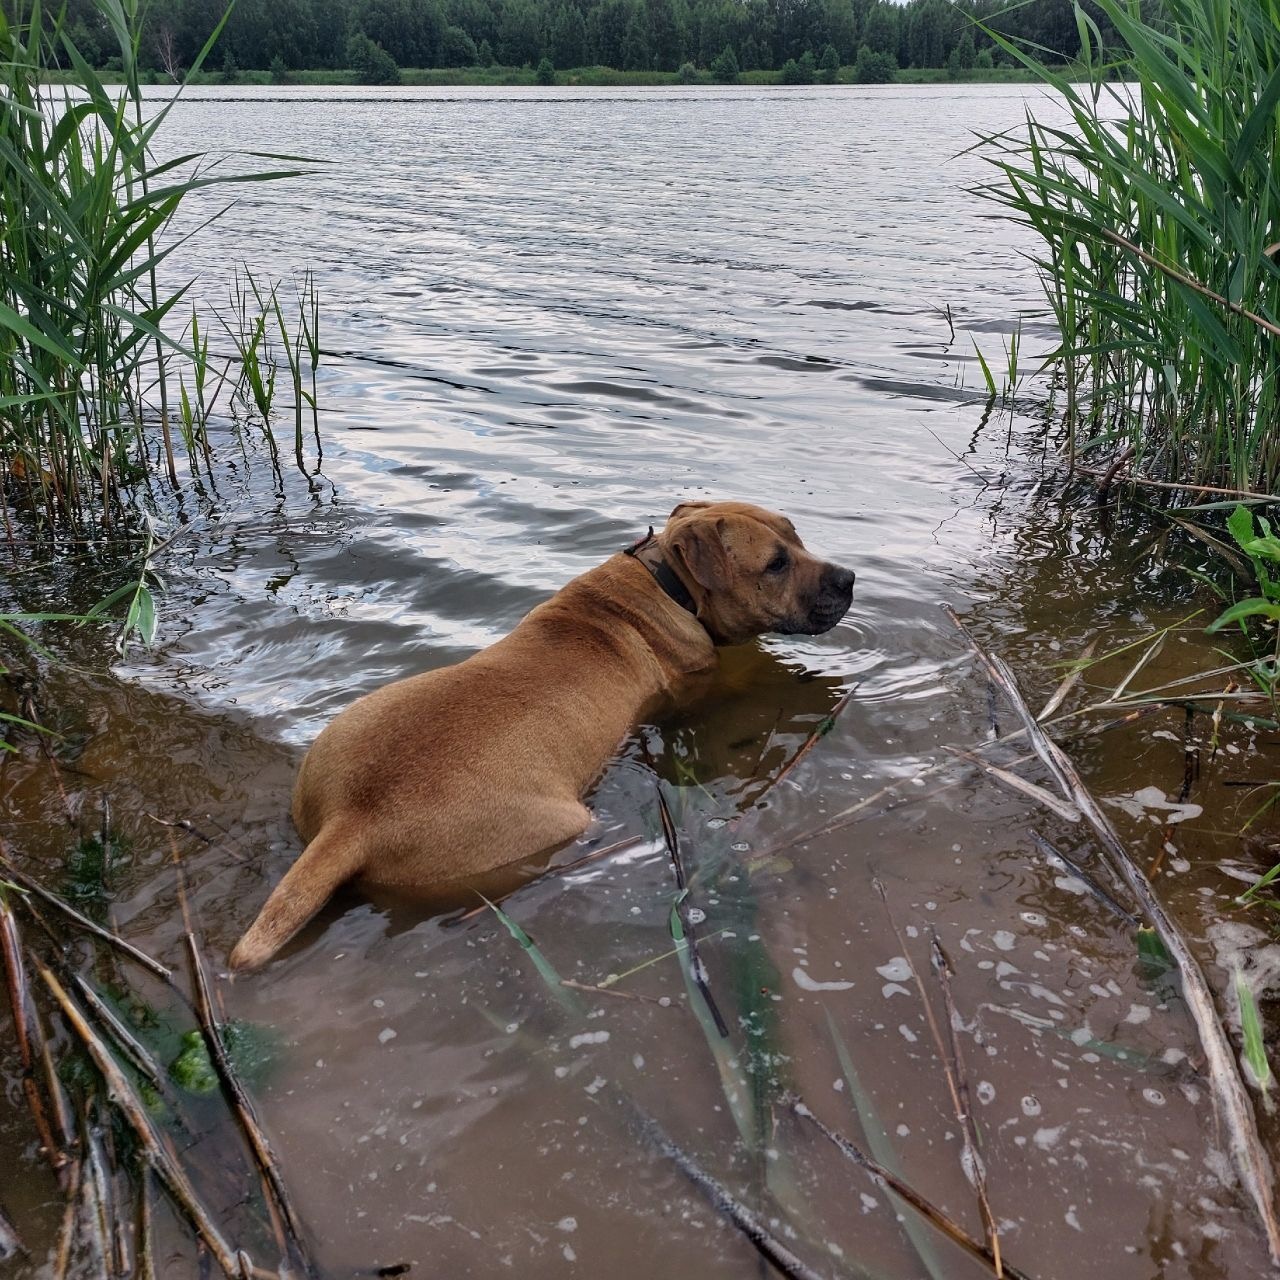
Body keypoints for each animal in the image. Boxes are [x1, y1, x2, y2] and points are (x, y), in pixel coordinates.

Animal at [229, 500, 855, 971]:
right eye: (776, 564)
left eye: (795, 536)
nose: (849, 578)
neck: (666, 583)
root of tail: (352, 820)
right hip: (553, 824)